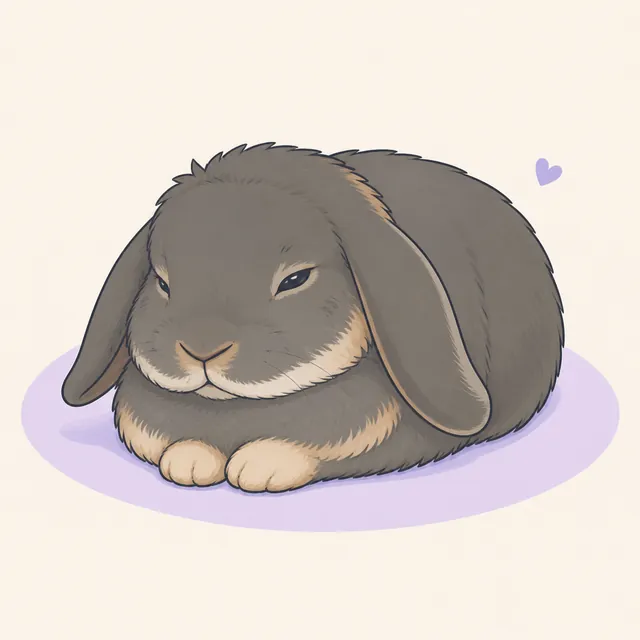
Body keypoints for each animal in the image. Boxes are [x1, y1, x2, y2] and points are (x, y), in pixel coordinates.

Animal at [61, 143, 564, 493]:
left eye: (295, 278)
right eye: (162, 282)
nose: (202, 349)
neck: (235, 411)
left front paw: (258, 466)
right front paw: (189, 461)